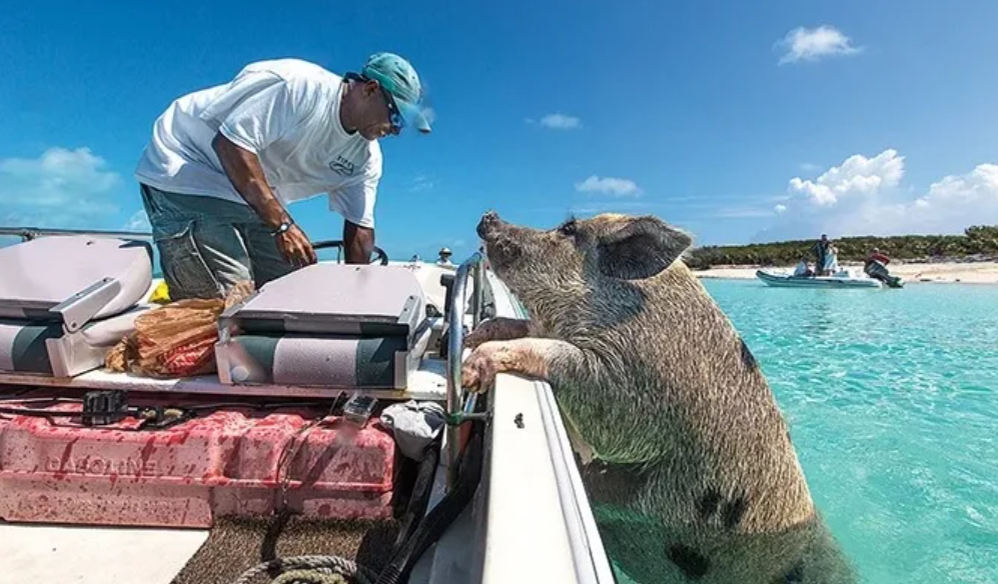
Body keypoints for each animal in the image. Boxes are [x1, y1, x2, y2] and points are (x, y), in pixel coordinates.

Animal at [462, 212, 860, 584]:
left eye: (568, 229)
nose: (489, 216)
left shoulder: (632, 387)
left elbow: (578, 377)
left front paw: (472, 367)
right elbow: (526, 328)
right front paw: (473, 337)